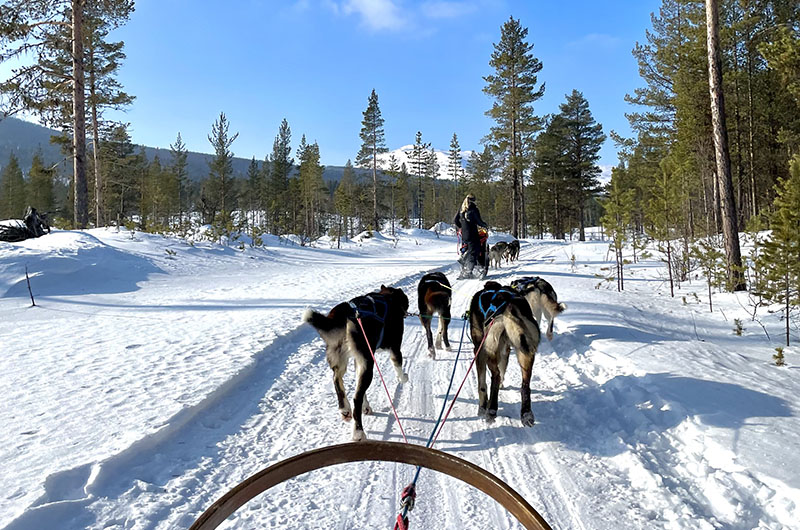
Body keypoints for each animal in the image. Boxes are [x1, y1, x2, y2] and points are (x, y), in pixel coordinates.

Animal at [304, 282, 410, 440]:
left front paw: (366, 407)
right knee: (356, 398)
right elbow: (398, 367)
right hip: (368, 364)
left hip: (340, 358)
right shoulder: (394, 349)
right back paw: (358, 432)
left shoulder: (358, 361)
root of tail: (346, 311)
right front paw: (403, 378)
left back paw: (345, 409)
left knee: (337, 379)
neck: (388, 298)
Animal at [466, 280, 540, 424]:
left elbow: (482, 385)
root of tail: (509, 305)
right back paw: (526, 413)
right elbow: (503, 369)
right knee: (525, 384)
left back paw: (491, 410)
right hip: (525, 353)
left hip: (490, 350)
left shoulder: (479, 350)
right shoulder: (505, 350)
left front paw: (482, 407)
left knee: (495, 376)